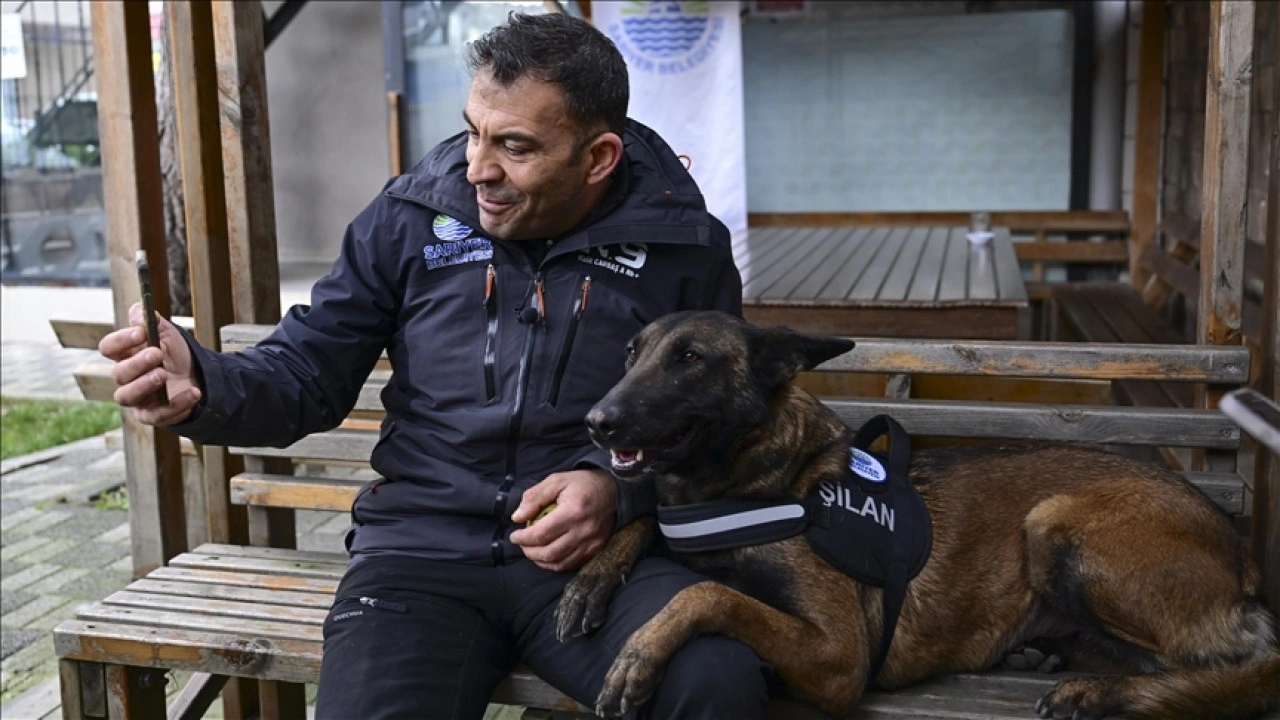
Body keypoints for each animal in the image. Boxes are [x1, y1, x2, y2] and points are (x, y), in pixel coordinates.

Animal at [555, 310, 1280, 717]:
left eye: (690, 359)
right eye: (631, 355)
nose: (595, 421)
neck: (755, 485)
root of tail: (1243, 558)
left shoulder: (839, 655)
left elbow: (709, 594)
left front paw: (640, 652)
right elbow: (649, 527)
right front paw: (591, 579)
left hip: (1053, 523)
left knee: (1239, 668)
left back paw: (1096, 692)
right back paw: (1042, 655)